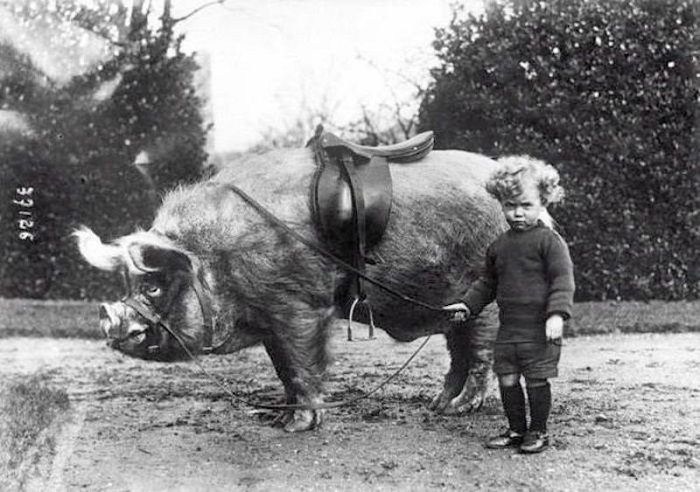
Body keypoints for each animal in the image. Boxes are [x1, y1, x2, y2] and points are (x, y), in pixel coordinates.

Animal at [75, 146, 504, 430]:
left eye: (153, 287)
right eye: (129, 283)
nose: (107, 316)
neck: (220, 256)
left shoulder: (300, 305)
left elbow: (301, 364)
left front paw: (297, 426)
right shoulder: (270, 318)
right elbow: (283, 368)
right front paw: (279, 417)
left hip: (485, 301)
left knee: (480, 356)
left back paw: (460, 409)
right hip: (453, 307)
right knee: (458, 355)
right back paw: (437, 406)